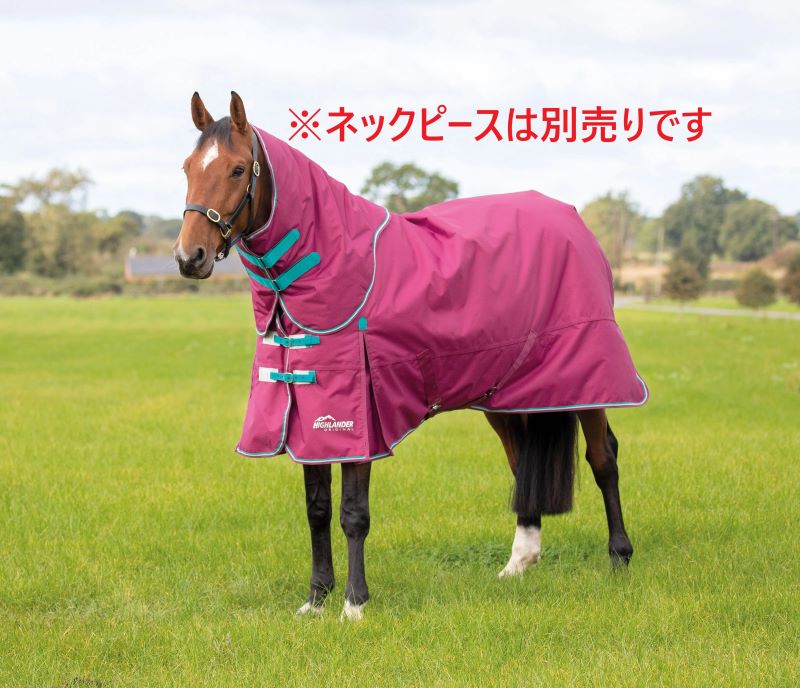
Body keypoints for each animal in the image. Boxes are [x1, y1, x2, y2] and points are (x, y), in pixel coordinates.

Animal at [175, 91, 644, 620]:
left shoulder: (357, 415)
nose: (189, 257)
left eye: (237, 169)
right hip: (506, 392)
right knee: (521, 459)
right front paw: (316, 599)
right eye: (188, 167)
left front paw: (354, 604)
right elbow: (317, 509)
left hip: (589, 379)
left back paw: (619, 558)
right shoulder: (306, 413)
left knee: (603, 457)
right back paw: (518, 564)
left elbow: (353, 514)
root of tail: (572, 218)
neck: (331, 263)